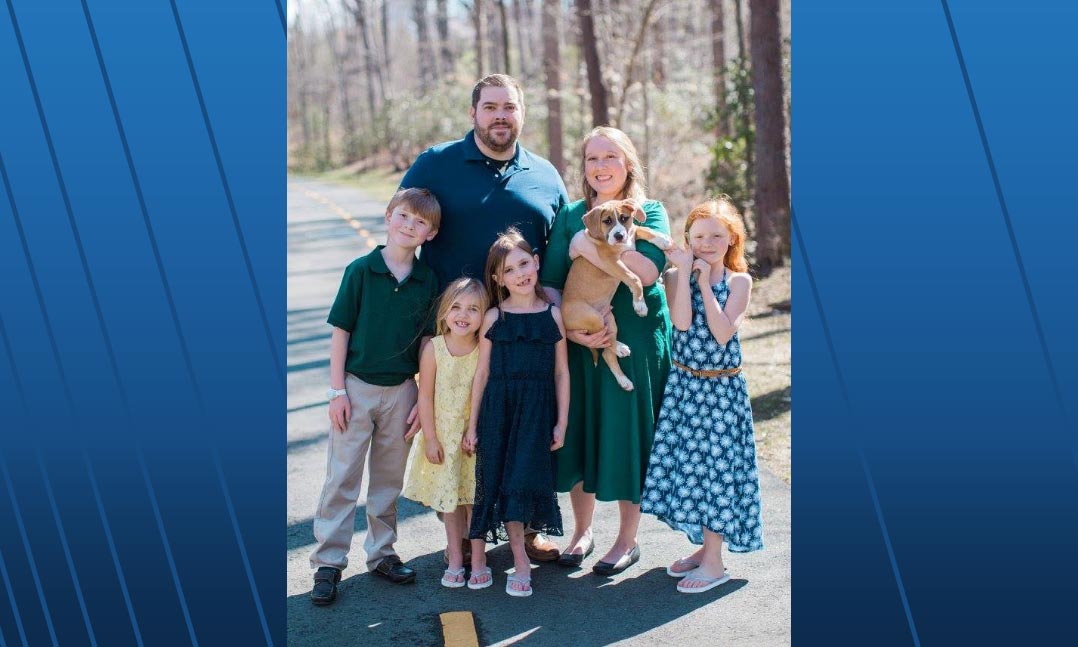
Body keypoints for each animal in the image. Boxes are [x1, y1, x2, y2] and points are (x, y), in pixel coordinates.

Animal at [560, 198, 668, 388]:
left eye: (624, 218)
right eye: (607, 221)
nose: (619, 236)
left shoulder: (631, 234)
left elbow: (644, 229)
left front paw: (663, 240)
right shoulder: (611, 262)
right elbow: (634, 278)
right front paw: (640, 305)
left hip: (609, 320)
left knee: (606, 352)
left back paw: (624, 380)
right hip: (593, 317)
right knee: (606, 342)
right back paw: (620, 348)